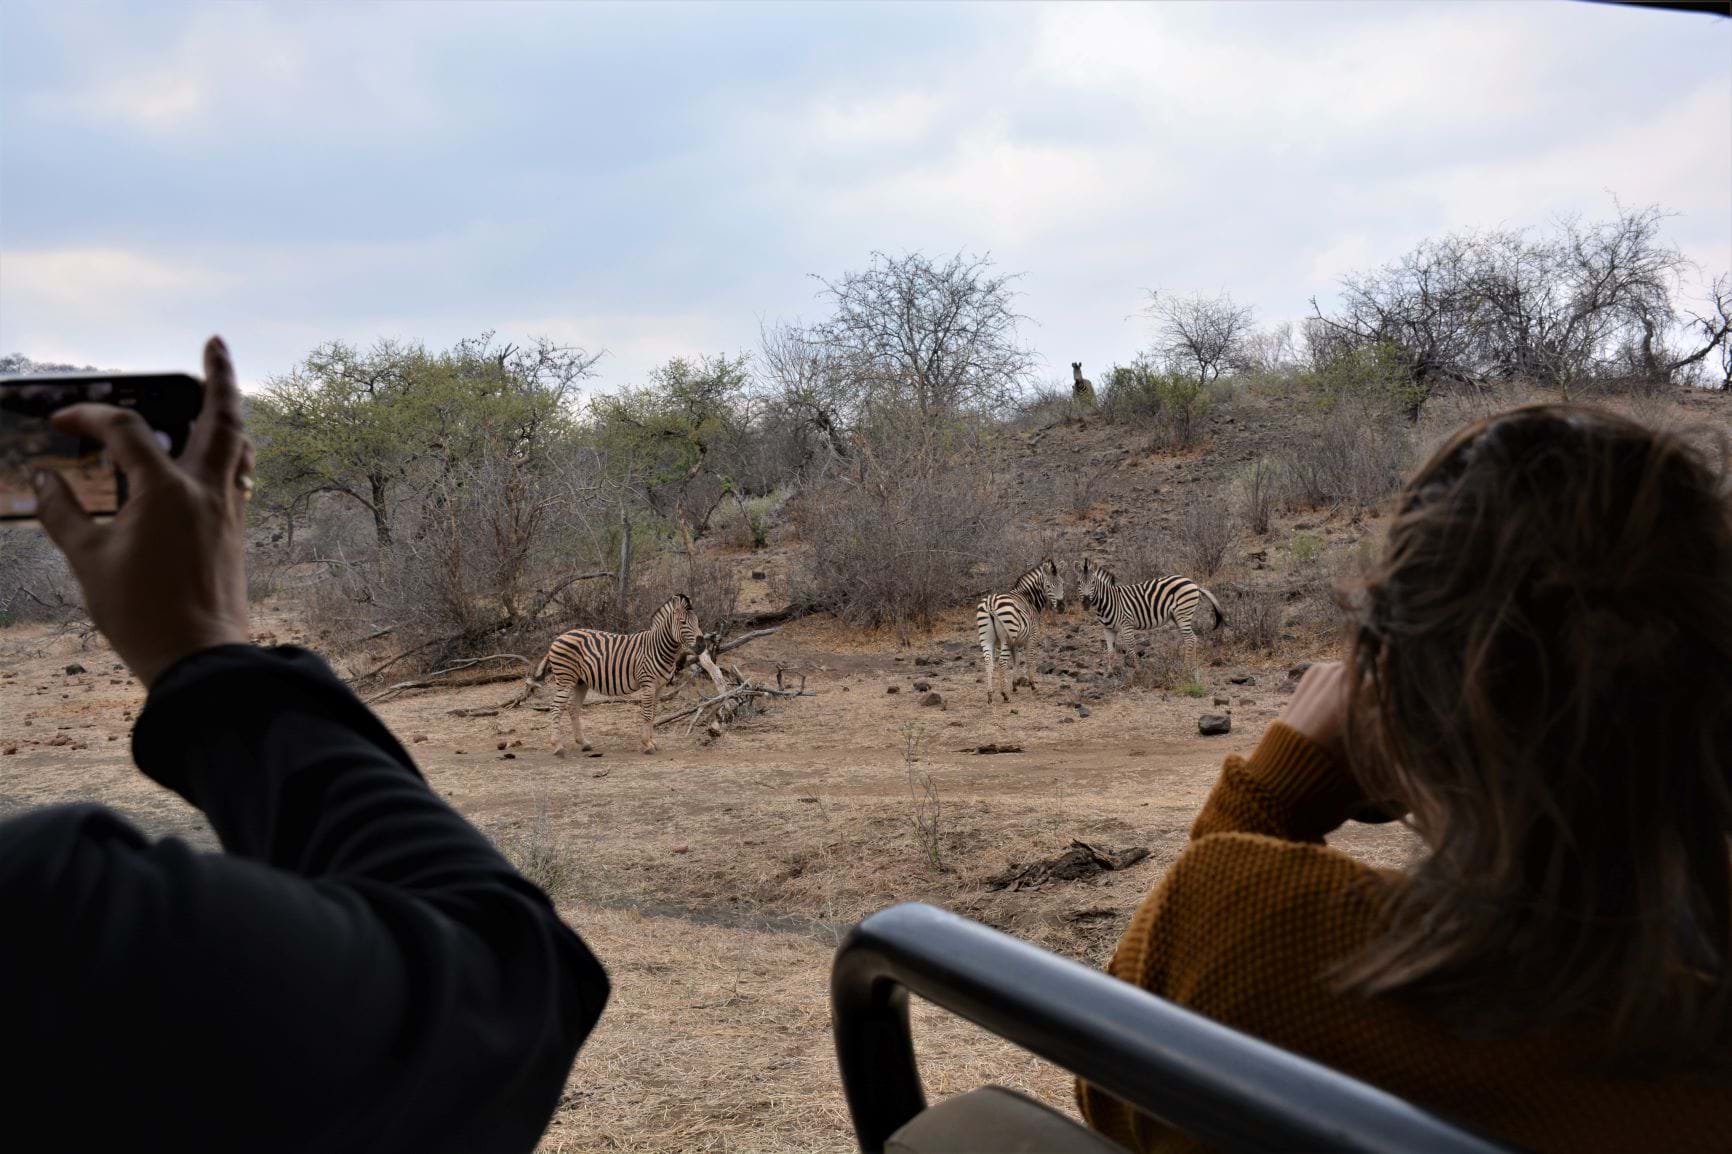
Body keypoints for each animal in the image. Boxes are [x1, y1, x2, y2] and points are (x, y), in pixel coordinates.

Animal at [527, 593, 702, 756]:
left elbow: (653, 714)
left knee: (572, 707)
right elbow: (647, 714)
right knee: (556, 707)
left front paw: (653, 742)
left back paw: (583, 743)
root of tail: (559, 637)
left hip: (580, 682)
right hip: (566, 679)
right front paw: (646, 744)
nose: (702, 645)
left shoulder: (660, 686)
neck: (658, 647)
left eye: (698, 622)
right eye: (683, 622)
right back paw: (557, 746)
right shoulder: (648, 684)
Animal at [977, 558, 1065, 703]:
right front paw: (1033, 685)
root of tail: (991, 602)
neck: (1029, 598)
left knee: (988, 662)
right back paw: (1004, 694)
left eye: (1062, 584)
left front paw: (1014, 686)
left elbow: (1016, 661)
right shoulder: (1032, 636)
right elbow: (1030, 659)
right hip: (1005, 639)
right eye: (1048, 586)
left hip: (987, 639)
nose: (1061, 608)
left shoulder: (1014, 642)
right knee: (1001, 663)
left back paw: (990, 695)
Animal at [1075, 557, 1224, 671]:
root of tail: (1193, 583)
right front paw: (1110, 672)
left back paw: (1186, 668)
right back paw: (1192, 666)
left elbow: (1131, 649)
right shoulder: (1108, 629)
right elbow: (1110, 652)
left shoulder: (1127, 625)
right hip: (1177, 616)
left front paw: (1137, 671)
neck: (1109, 602)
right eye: (1078, 583)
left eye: (1093, 583)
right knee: (1193, 638)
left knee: (1190, 639)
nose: (1086, 602)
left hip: (1183, 614)